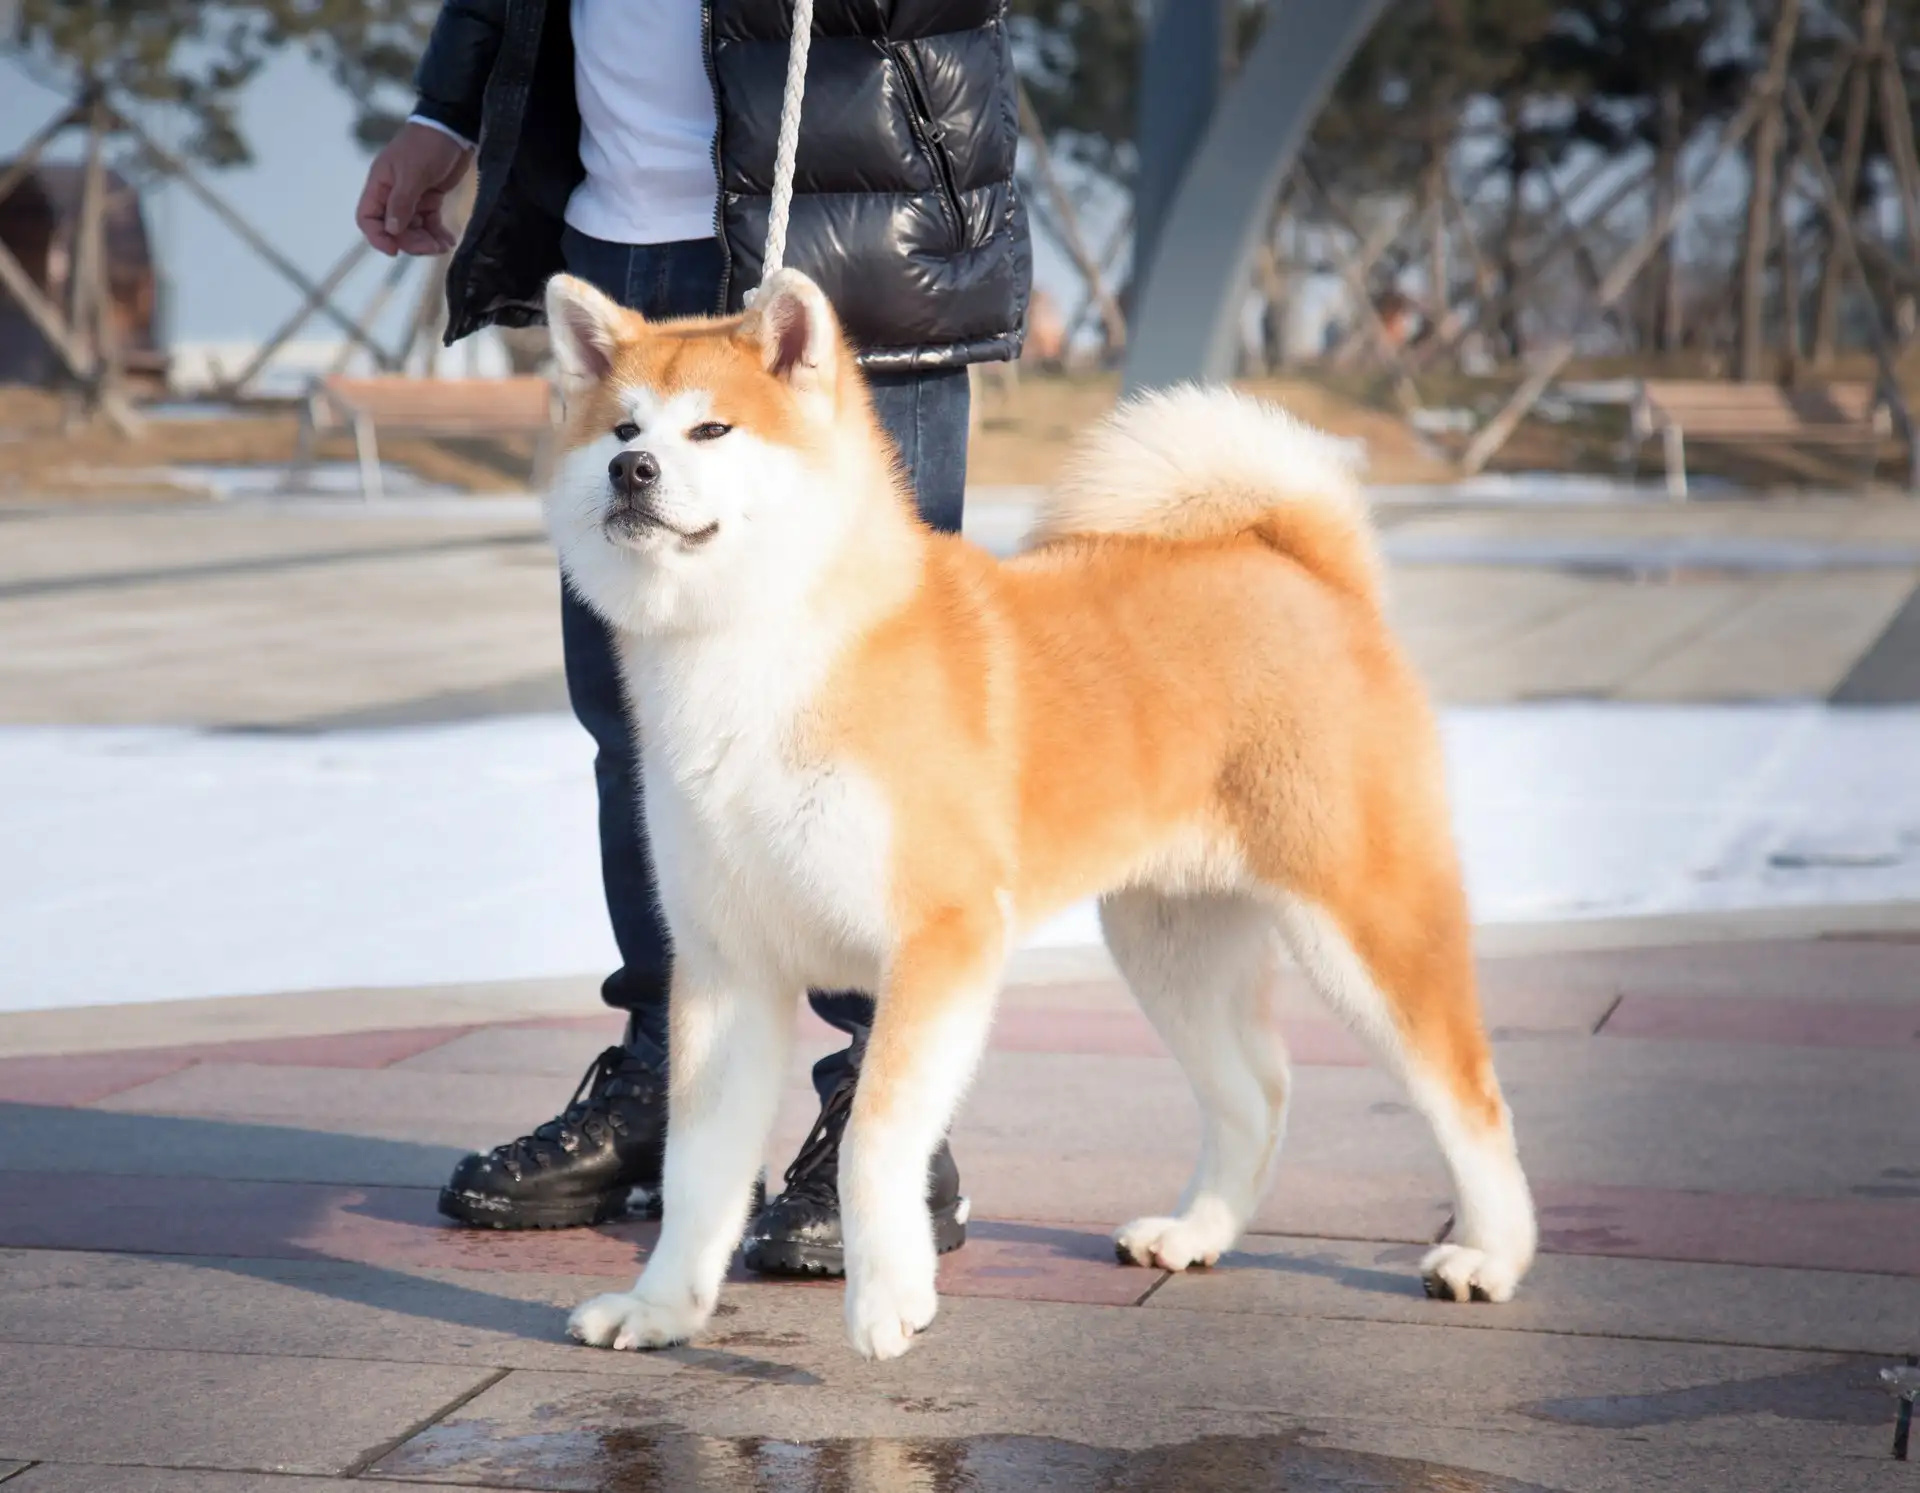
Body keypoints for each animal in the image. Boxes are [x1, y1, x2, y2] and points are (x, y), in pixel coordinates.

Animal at [549, 266, 1536, 1358]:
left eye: (713, 428)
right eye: (621, 424)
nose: (631, 469)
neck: (757, 655)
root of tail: (1310, 571)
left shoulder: (939, 941)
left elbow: (872, 1138)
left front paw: (886, 1293)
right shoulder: (726, 968)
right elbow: (696, 1170)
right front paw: (660, 1307)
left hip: (1365, 922)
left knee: (1470, 1093)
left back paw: (1489, 1253)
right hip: (1168, 944)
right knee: (1259, 1091)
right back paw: (1196, 1231)